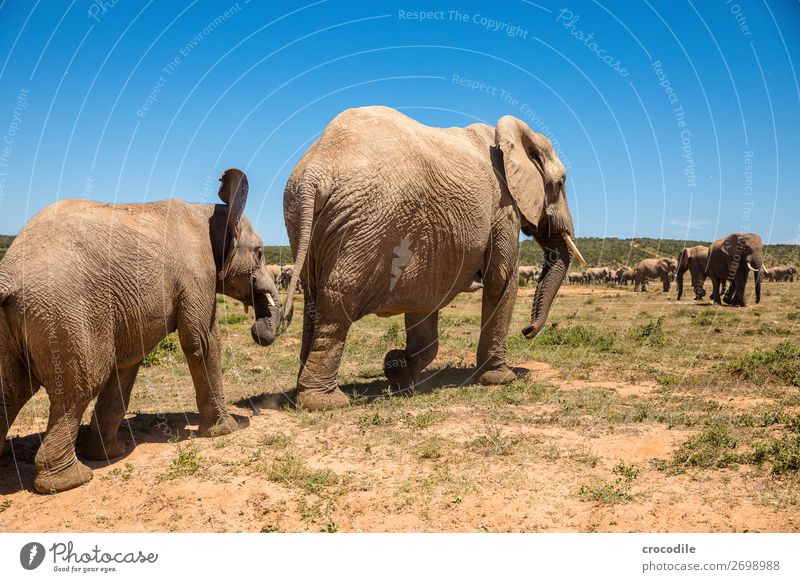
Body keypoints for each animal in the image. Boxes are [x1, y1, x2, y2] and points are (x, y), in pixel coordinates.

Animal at [0, 169, 282, 492]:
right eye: (259, 253)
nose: (258, 330)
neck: (209, 210)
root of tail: (8, 273)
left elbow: (127, 361)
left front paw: (109, 453)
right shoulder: (196, 272)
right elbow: (202, 341)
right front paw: (226, 430)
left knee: (10, 392)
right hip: (63, 311)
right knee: (80, 386)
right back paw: (72, 480)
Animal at [282, 107, 580, 412]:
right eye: (560, 183)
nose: (527, 330)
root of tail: (316, 171)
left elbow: (424, 299)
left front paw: (398, 370)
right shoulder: (502, 206)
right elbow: (501, 280)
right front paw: (500, 378)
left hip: (305, 218)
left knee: (313, 298)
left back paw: (303, 392)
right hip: (365, 222)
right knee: (338, 299)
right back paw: (325, 402)